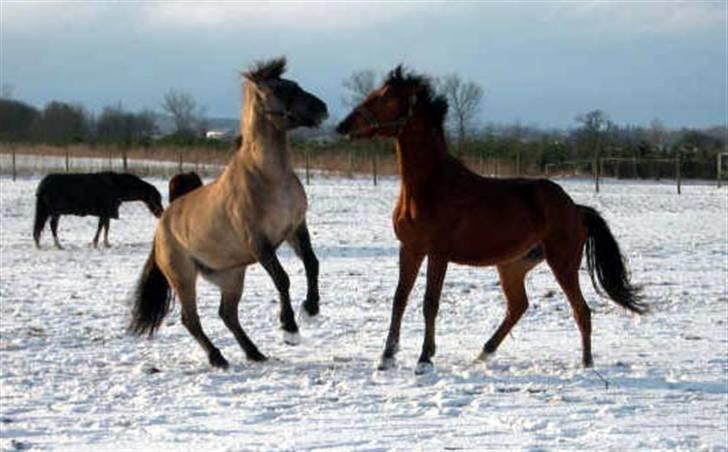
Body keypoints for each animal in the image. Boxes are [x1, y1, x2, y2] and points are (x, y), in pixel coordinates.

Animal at [34, 173, 164, 251]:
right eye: (157, 198)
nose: (161, 213)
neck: (118, 186)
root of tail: (43, 185)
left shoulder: (106, 213)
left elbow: (106, 227)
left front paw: (106, 243)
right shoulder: (105, 212)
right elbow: (102, 226)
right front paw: (96, 243)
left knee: (46, 226)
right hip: (53, 211)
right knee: (51, 225)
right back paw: (55, 244)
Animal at [128, 58, 328, 370]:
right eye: (280, 89)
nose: (322, 108)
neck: (270, 178)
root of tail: (162, 226)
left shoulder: (295, 228)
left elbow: (312, 263)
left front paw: (311, 309)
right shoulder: (259, 243)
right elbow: (282, 279)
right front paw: (290, 329)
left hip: (232, 276)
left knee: (227, 314)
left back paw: (254, 353)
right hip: (184, 277)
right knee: (191, 319)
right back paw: (218, 357)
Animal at [338, 64, 644, 374]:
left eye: (387, 97)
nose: (343, 126)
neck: (429, 187)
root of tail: (576, 208)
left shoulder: (438, 254)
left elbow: (430, 302)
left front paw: (424, 359)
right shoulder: (410, 249)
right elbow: (399, 299)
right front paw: (387, 356)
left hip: (563, 263)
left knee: (581, 310)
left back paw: (586, 363)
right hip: (512, 266)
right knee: (518, 306)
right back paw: (484, 353)